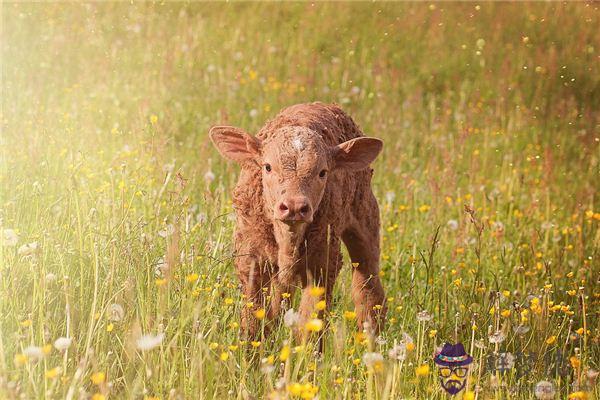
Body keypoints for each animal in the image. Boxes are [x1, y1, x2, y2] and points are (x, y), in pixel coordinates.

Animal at [211, 102, 386, 338]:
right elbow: (253, 318)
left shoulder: (323, 264)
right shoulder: (250, 259)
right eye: (267, 167)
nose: (294, 207)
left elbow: (310, 323)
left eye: (323, 172)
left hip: (366, 217)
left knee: (368, 286)